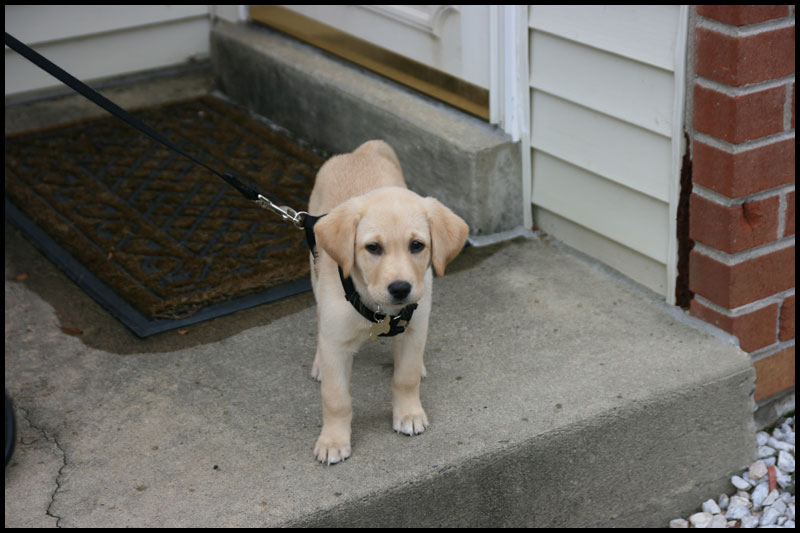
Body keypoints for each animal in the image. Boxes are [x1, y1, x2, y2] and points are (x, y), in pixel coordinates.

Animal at [306, 140, 468, 462]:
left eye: (417, 245)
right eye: (373, 247)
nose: (401, 288)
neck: (378, 308)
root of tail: (359, 152)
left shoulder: (415, 326)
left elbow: (405, 377)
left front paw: (408, 414)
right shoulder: (336, 342)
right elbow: (336, 398)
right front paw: (333, 441)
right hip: (314, 270)